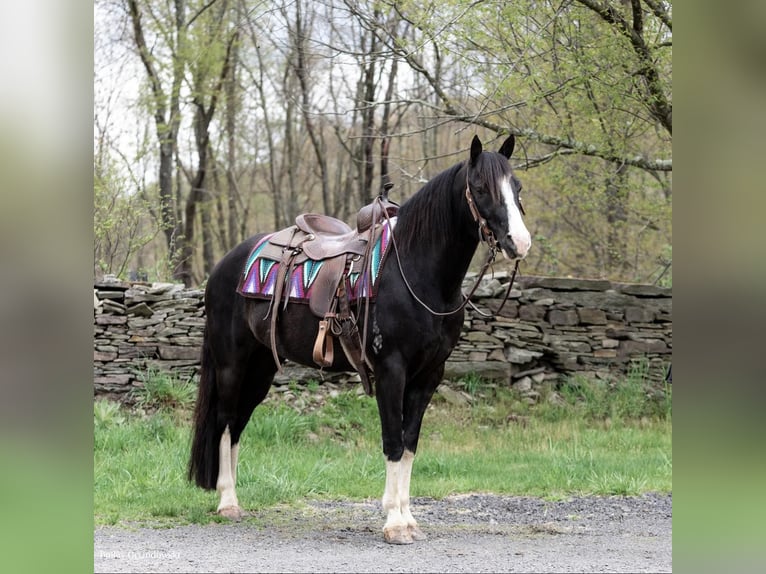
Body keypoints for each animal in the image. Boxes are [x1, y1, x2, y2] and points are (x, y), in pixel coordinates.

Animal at [189, 134, 532, 544]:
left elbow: (410, 444)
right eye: (480, 187)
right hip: (231, 363)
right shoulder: (391, 370)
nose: (520, 242)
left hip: (262, 368)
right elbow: (393, 441)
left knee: (238, 423)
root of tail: (226, 265)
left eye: (517, 187)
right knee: (225, 422)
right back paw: (227, 501)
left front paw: (408, 519)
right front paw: (394, 524)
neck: (418, 274)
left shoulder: (429, 376)